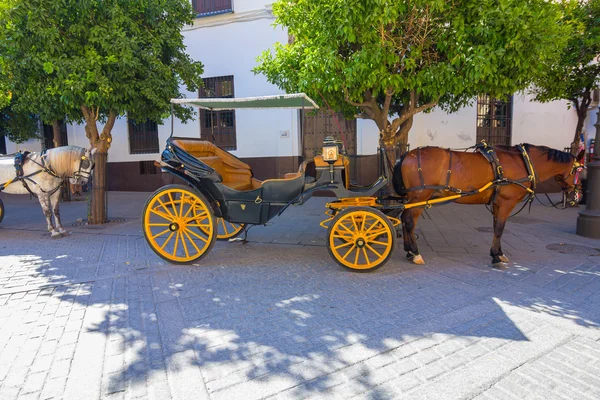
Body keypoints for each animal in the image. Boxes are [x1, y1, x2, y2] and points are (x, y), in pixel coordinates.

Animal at [392, 142, 584, 268]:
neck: (523, 162)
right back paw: (415, 253)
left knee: (405, 218)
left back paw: (409, 251)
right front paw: (496, 257)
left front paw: (498, 253)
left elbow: (495, 228)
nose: (578, 194)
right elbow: (499, 229)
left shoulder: (497, 204)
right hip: (420, 196)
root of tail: (405, 155)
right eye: (579, 170)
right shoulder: (506, 203)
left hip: (414, 198)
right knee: (409, 221)